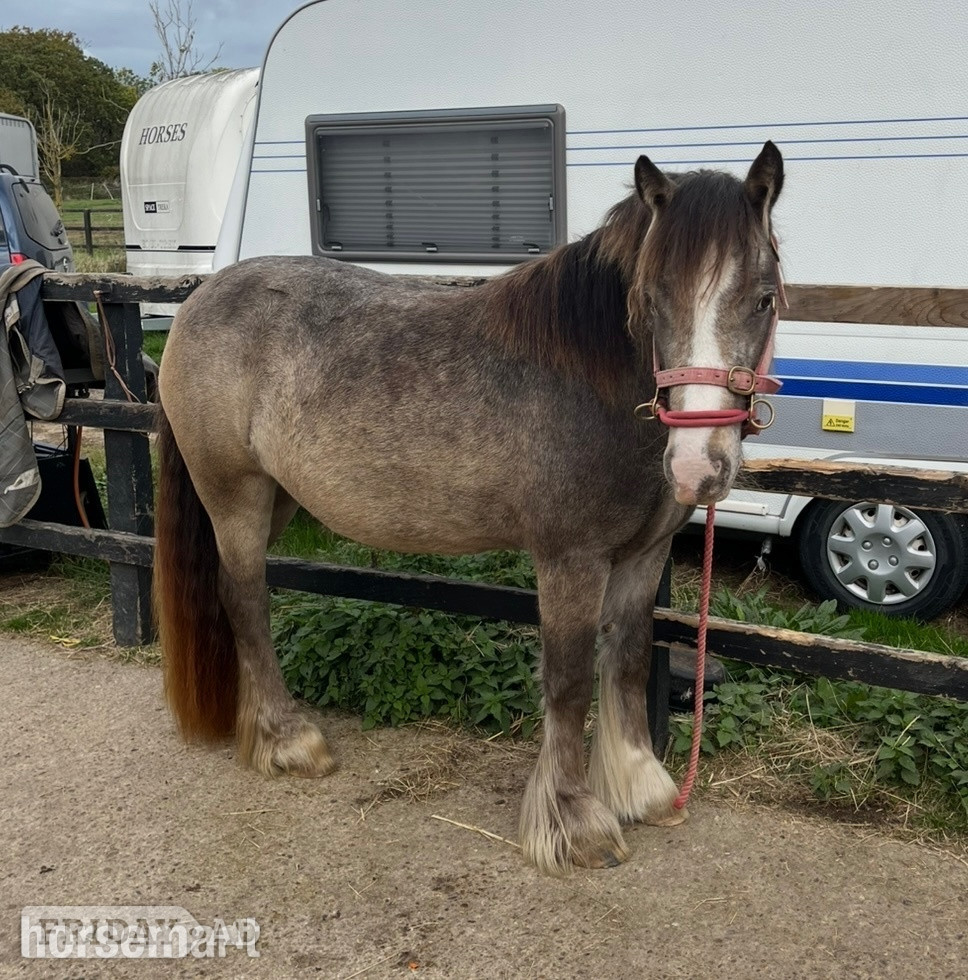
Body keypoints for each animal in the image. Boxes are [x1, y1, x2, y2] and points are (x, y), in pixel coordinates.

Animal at [154, 141, 784, 875]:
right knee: (245, 599)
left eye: (763, 300)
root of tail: (200, 299)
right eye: (651, 301)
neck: (590, 379)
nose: (697, 467)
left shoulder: (643, 555)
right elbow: (569, 678)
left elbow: (626, 656)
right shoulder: (570, 560)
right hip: (236, 495)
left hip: (277, 498)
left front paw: (639, 787)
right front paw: (573, 822)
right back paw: (289, 739)